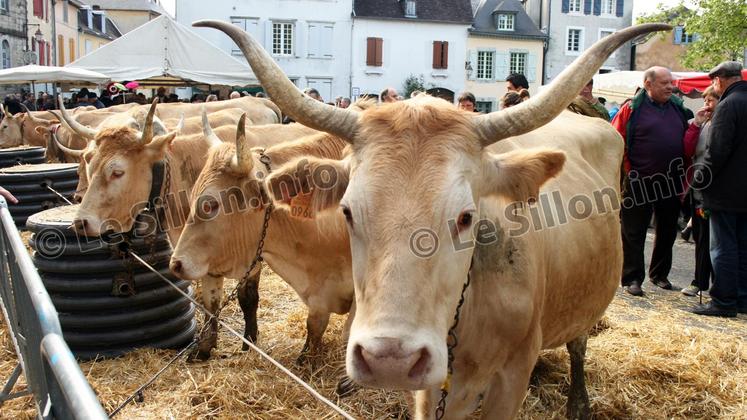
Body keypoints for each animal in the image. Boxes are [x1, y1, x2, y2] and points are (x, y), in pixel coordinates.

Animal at [199, 18, 672, 418]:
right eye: (347, 211)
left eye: (466, 216)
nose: (389, 360)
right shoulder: (433, 387)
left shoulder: (510, 377)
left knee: (578, 346)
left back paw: (578, 401)